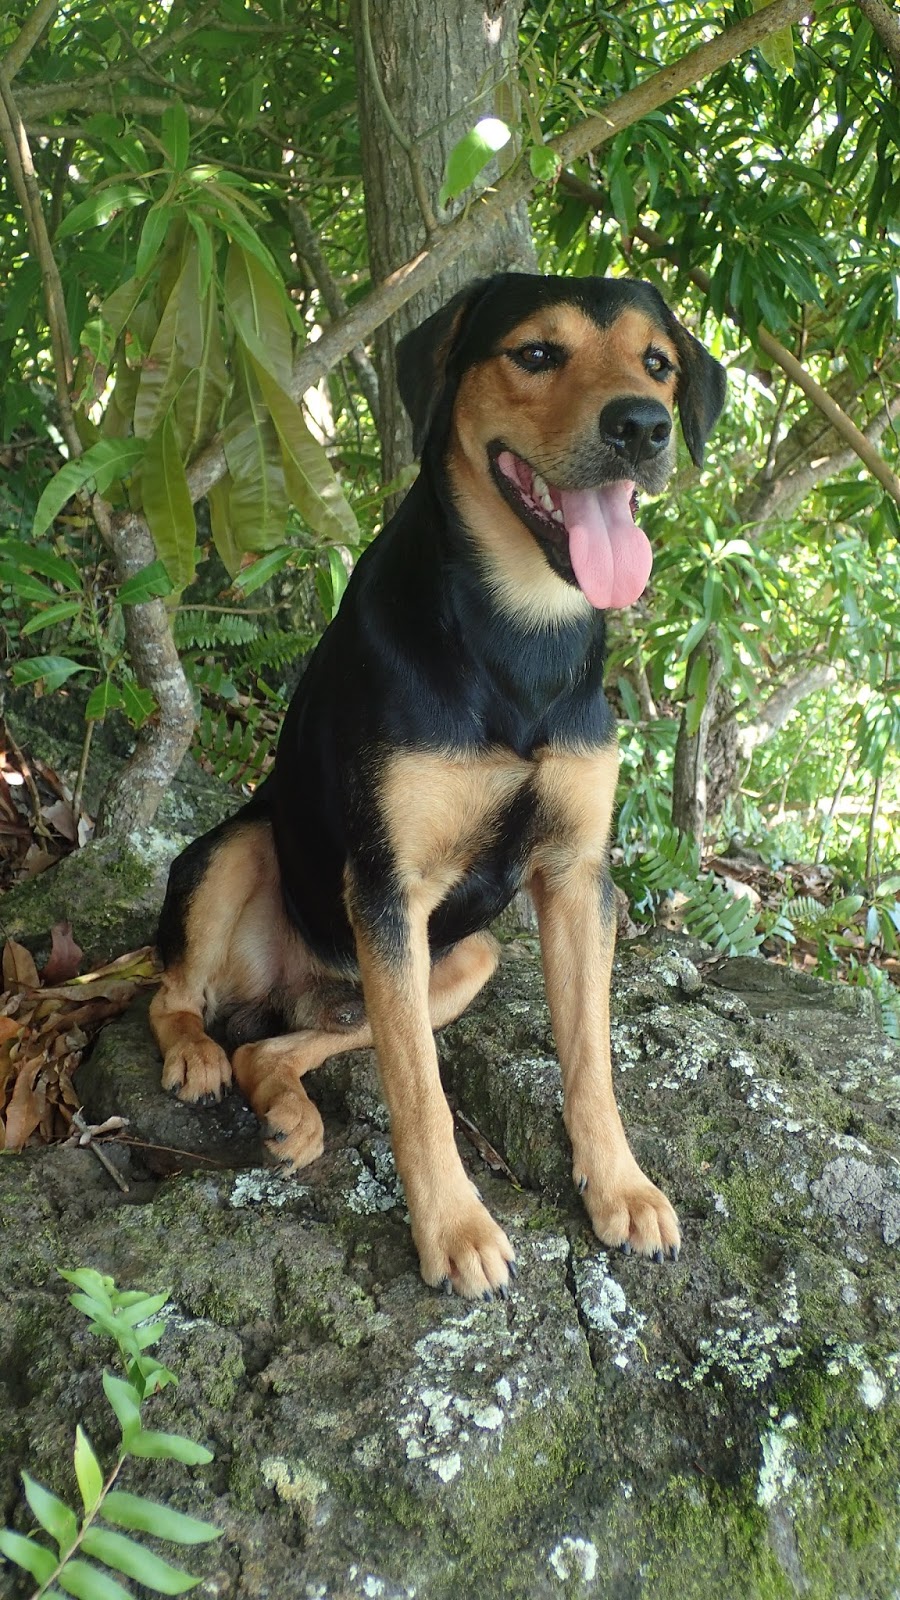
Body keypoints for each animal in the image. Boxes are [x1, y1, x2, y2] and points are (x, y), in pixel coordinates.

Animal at [150, 273, 726, 1299]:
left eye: (659, 363)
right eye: (536, 353)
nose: (643, 426)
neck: (522, 632)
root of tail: (291, 987)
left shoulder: (577, 877)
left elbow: (591, 1059)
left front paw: (620, 1187)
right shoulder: (389, 886)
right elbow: (417, 1091)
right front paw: (455, 1230)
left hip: (460, 961)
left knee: (283, 1044)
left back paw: (287, 1105)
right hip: (243, 852)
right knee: (171, 991)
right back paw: (193, 1051)